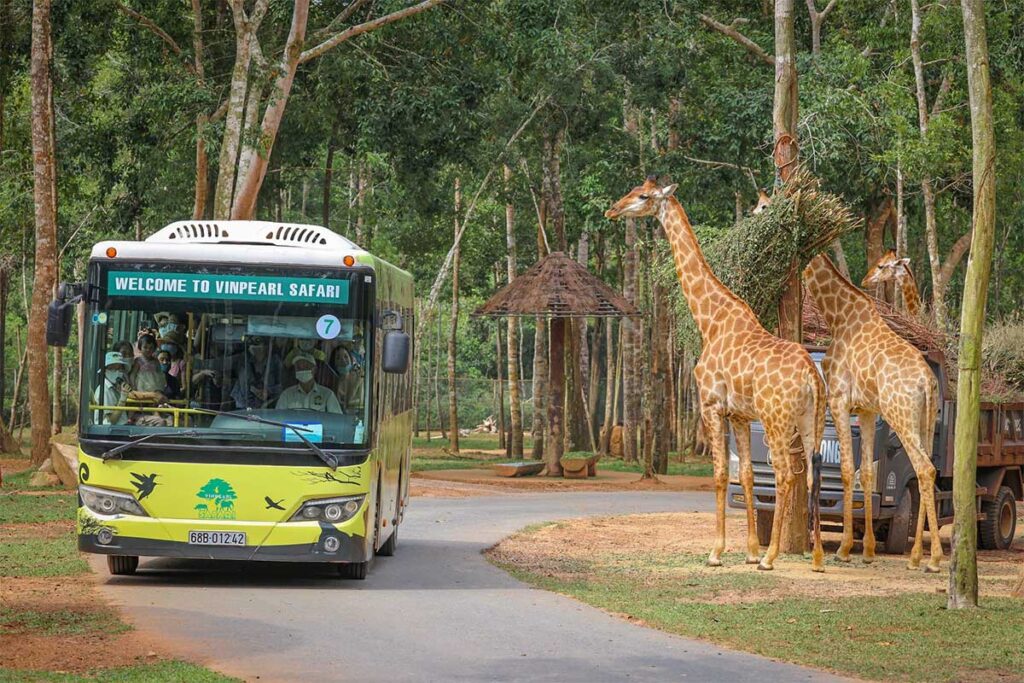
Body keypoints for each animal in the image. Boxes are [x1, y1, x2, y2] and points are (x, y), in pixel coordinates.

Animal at [606, 178, 827, 572]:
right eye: (633, 189)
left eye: (643, 196)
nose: (612, 210)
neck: (710, 320)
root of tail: (811, 377)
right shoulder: (738, 414)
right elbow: (747, 474)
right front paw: (749, 549)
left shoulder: (710, 404)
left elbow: (721, 473)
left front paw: (717, 552)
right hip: (809, 419)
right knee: (813, 474)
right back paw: (816, 559)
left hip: (776, 419)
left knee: (786, 474)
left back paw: (771, 558)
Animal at [803, 254, 942, 572]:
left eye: (881, 267)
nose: (866, 279)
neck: (839, 316)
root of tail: (927, 382)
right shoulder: (866, 410)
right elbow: (866, 472)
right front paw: (867, 549)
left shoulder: (839, 400)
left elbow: (847, 470)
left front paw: (843, 549)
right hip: (926, 422)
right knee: (928, 470)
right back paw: (916, 555)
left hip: (900, 416)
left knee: (925, 468)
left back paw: (933, 559)